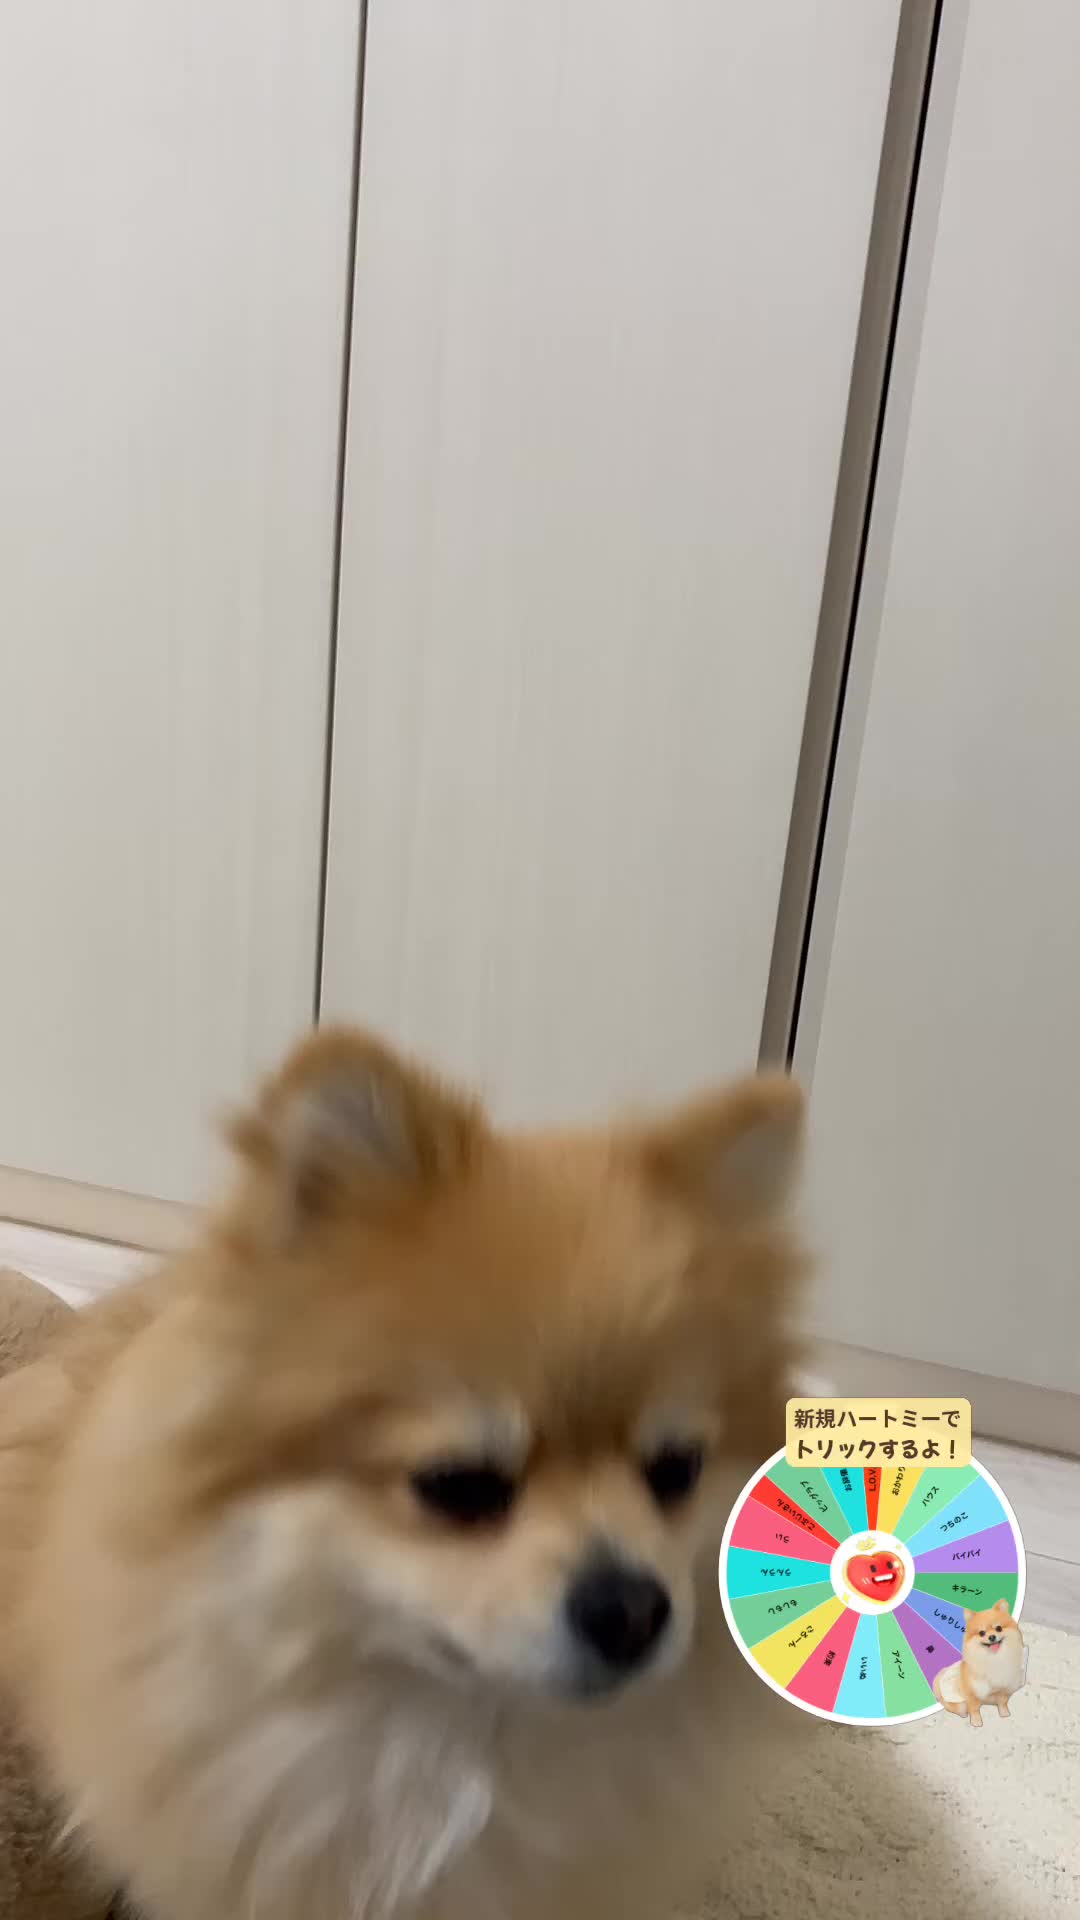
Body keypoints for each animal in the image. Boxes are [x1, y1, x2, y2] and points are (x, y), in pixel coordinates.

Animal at [932, 1598, 1026, 1728]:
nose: (992, 1637)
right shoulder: (973, 1693)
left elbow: (1002, 1703)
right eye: (982, 1633)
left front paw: (1004, 1714)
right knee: (957, 1708)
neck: (994, 1658)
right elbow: (974, 1709)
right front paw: (976, 1722)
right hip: (958, 1702)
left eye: (999, 1628)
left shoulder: (1003, 1689)